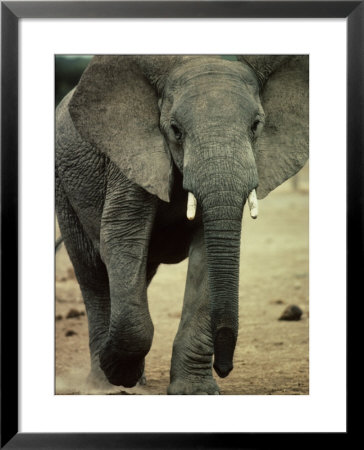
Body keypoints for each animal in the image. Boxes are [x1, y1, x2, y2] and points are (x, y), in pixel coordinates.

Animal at [55, 55, 308, 394]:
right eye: (175, 130)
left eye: (256, 126)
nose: (224, 367)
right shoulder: (131, 158)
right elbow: (121, 239)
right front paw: (119, 371)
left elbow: (206, 256)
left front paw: (195, 392)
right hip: (63, 187)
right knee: (92, 270)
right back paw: (106, 385)